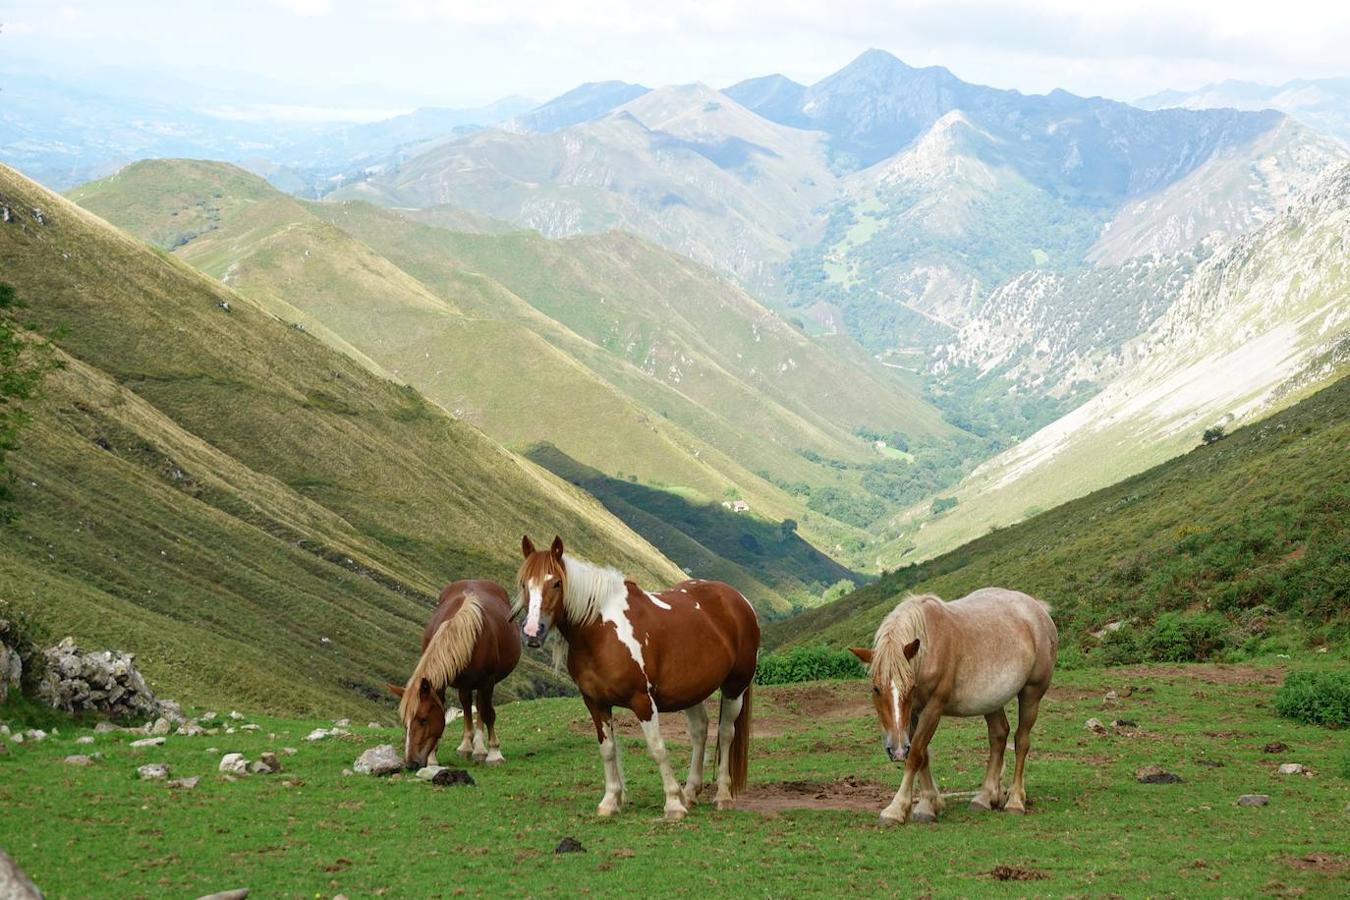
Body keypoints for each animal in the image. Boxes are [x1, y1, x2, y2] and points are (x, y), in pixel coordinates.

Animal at [391, 580, 521, 771]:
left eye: (423, 720)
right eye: (404, 723)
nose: (410, 763)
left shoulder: (488, 681)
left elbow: (488, 713)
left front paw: (494, 753)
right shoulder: (440, 684)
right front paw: (432, 758)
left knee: (481, 706)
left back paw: (480, 749)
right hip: (465, 682)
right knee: (468, 704)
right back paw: (467, 746)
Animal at [515, 539, 761, 820]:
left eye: (556, 582)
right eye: (524, 584)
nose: (532, 632)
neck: (599, 632)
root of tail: (739, 599)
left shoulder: (643, 701)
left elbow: (657, 748)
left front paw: (673, 804)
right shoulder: (595, 703)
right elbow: (607, 749)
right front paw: (610, 801)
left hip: (735, 688)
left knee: (726, 733)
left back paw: (722, 796)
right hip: (691, 691)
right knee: (700, 731)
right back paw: (690, 792)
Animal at [853, 588, 1053, 825]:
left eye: (910, 688)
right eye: (876, 688)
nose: (897, 750)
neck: (929, 647)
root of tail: (1038, 609)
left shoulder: (933, 708)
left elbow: (916, 754)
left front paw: (897, 808)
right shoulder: (913, 713)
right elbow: (923, 755)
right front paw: (929, 803)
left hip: (1031, 695)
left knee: (1021, 741)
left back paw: (1015, 801)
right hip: (992, 702)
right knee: (998, 736)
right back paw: (985, 797)